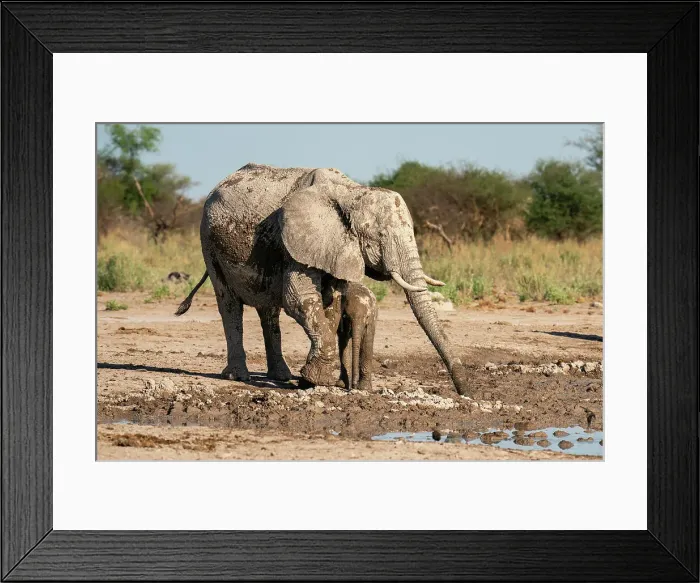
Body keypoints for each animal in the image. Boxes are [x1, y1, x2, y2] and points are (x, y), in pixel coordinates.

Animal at [175, 163, 470, 396]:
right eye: (381, 236)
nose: (466, 392)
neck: (351, 193)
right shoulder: (296, 239)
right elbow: (299, 299)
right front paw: (319, 379)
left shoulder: (333, 246)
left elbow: (330, 303)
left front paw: (315, 380)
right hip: (208, 241)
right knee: (229, 303)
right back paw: (238, 376)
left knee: (268, 309)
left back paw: (280, 376)